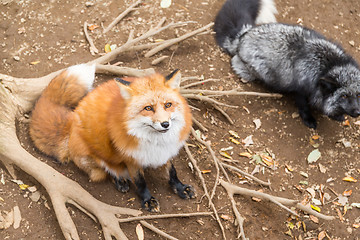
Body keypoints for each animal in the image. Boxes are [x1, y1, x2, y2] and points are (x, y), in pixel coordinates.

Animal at [29, 64, 195, 212]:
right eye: (148, 108)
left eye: (168, 105)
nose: (165, 124)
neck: (154, 142)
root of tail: (72, 120)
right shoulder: (131, 158)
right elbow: (140, 182)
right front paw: (147, 200)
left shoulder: (165, 152)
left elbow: (172, 172)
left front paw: (181, 188)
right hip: (98, 155)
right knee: (106, 171)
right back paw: (120, 180)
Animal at [214, 0, 360, 128]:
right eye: (344, 96)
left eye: (358, 95)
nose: (358, 112)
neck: (329, 65)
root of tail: (244, 34)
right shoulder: (301, 89)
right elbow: (304, 107)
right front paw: (309, 119)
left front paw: (337, 115)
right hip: (254, 71)